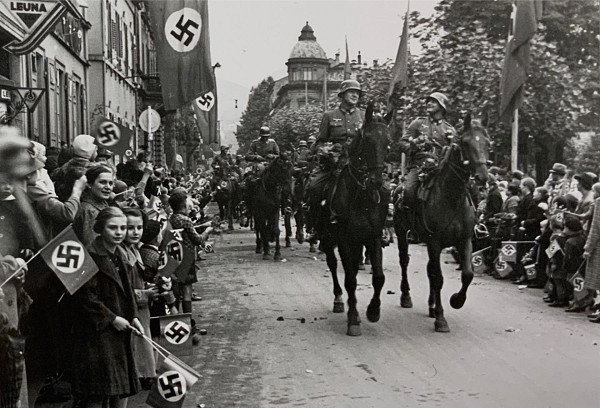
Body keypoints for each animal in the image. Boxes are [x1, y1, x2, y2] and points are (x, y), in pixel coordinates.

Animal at [322, 103, 392, 336]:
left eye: (388, 141)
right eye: (367, 139)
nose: (376, 181)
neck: (361, 196)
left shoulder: (373, 237)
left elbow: (379, 277)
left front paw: (373, 311)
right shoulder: (343, 239)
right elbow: (350, 280)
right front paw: (353, 319)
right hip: (327, 237)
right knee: (333, 264)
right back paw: (338, 300)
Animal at [396, 113, 490, 334]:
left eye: (487, 142)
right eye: (466, 142)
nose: (483, 177)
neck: (451, 197)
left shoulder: (465, 241)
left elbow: (467, 274)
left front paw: (456, 300)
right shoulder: (434, 241)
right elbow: (438, 278)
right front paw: (441, 319)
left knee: (430, 270)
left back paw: (431, 306)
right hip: (401, 233)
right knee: (405, 262)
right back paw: (406, 296)